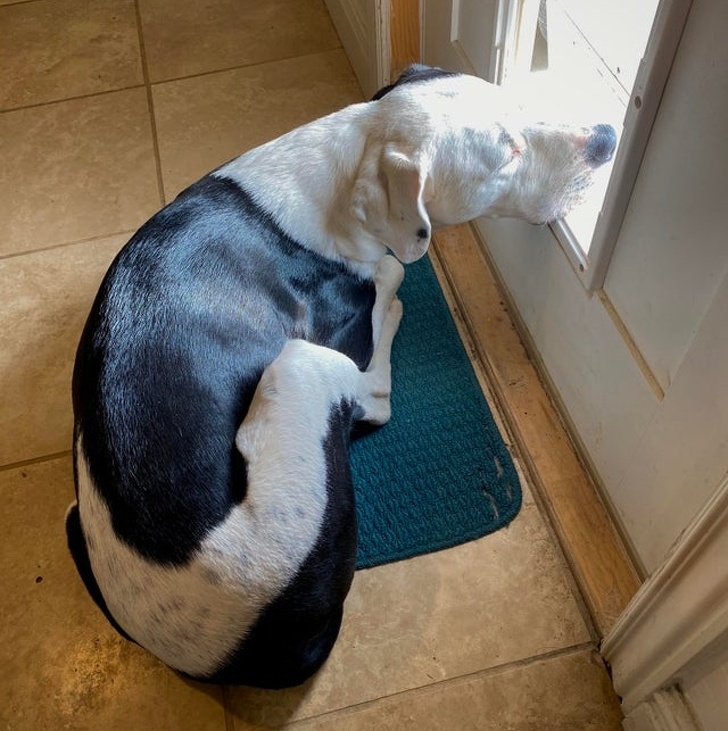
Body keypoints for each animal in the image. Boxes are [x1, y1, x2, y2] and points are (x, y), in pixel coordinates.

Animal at [67, 66, 616, 688]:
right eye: (507, 155)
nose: (607, 137)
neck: (346, 167)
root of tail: (216, 656)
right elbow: (391, 272)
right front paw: (389, 283)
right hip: (301, 365)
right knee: (376, 391)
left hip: (76, 518)